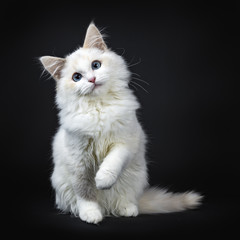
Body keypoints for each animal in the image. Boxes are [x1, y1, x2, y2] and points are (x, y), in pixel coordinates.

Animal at [39, 23, 202, 225]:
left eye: (96, 65)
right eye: (76, 77)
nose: (92, 80)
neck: (99, 108)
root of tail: (108, 208)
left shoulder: (125, 142)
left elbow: (112, 162)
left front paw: (102, 180)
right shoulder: (78, 160)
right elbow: (85, 192)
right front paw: (91, 214)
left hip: (135, 177)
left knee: (126, 199)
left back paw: (127, 209)